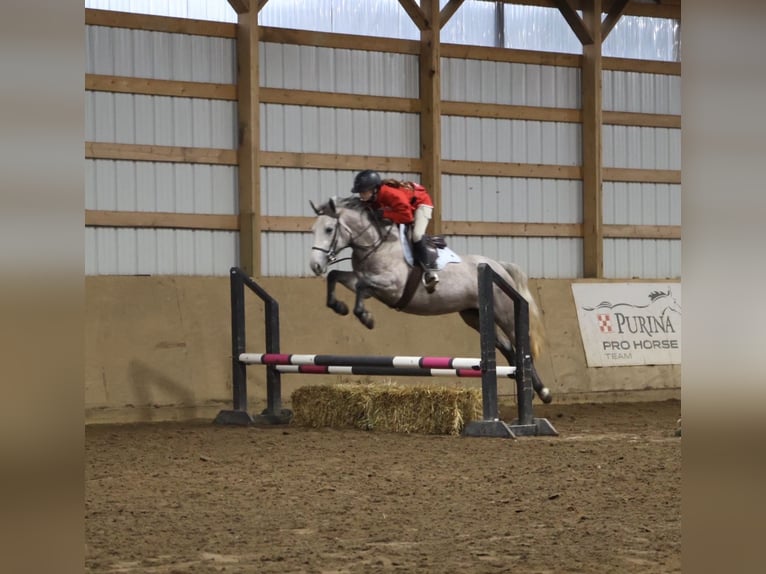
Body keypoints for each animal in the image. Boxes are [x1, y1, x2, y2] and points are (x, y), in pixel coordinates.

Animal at [308, 196, 552, 404]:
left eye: (329, 229)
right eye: (313, 230)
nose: (315, 265)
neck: (377, 245)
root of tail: (497, 266)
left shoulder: (392, 287)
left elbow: (360, 287)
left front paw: (366, 318)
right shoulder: (367, 283)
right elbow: (336, 276)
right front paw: (339, 307)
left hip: (505, 313)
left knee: (521, 346)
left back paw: (543, 392)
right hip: (475, 316)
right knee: (508, 347)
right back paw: (527, 388)